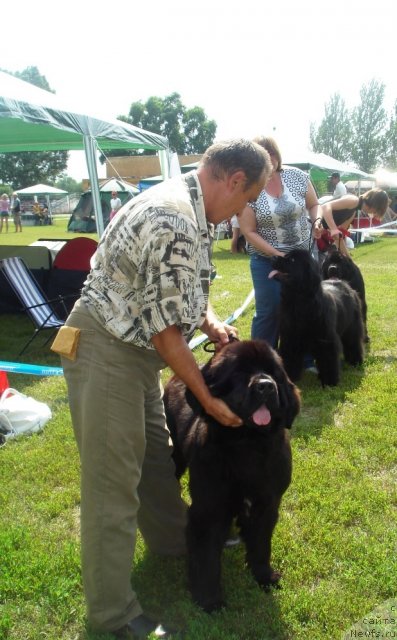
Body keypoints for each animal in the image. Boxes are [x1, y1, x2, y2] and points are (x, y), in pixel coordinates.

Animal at [162, 340, 298, 616]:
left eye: (274, 373)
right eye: (240, 373)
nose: (266, 385)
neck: (248, 445)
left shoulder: (268, 503)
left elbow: (261, 544)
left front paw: (264, 576)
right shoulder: (208, 508)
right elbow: (206, 557)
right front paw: (209, 599)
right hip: (176, 456)